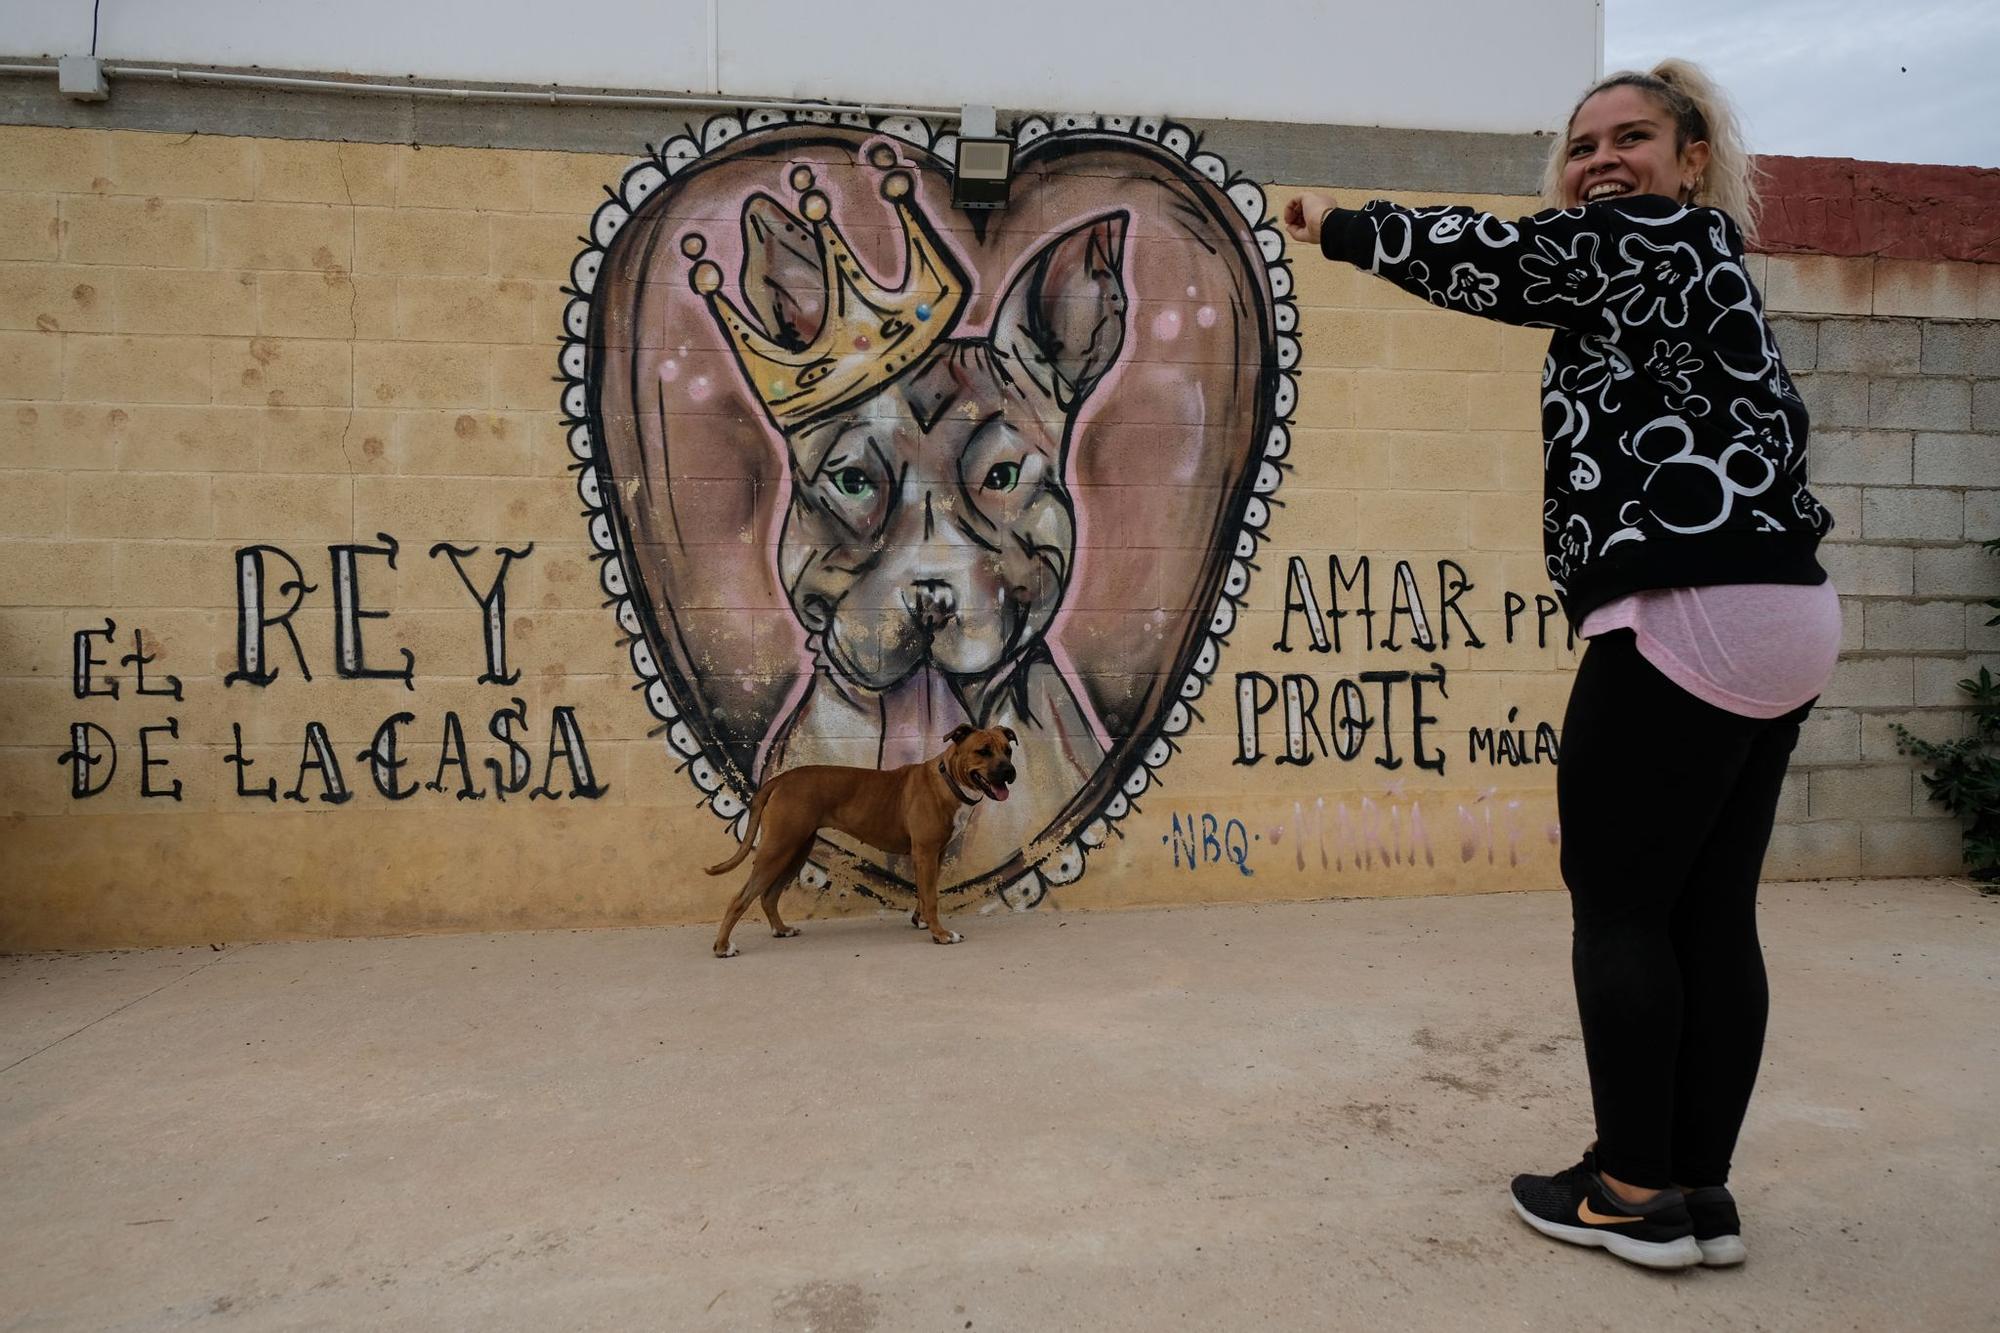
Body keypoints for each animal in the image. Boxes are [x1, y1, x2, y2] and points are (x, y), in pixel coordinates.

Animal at [708, 720, 1016, 948]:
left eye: (1008, 751)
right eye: (983, 751)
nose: (1010, 771)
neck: (948, 780)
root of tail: (779, 780)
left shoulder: (933, 856)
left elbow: (924, 892)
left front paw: (922, 921)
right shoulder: (926, 853)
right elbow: (931, 897)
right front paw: (940, 934)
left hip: (795, 851)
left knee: (768, 896)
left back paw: (781, 929)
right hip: (778, 849)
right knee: (741, 898)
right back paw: (723, 947)